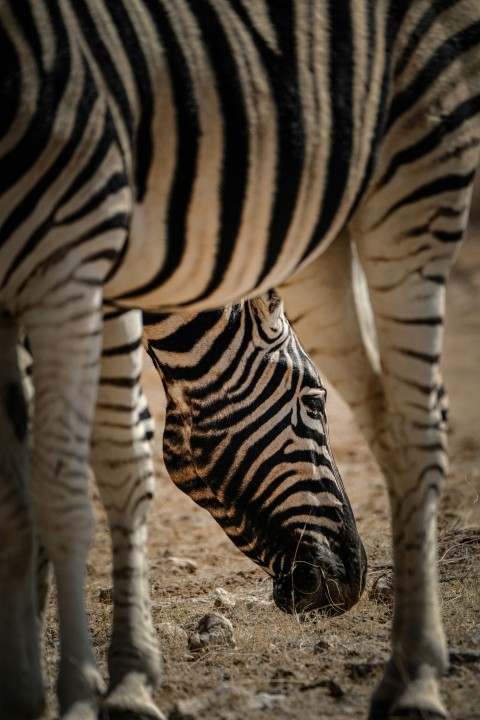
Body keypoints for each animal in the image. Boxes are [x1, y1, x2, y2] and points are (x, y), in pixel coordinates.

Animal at [0, 1, 478, 720]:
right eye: (312, 402)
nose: (352, 582)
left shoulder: (76, 268)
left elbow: (84, 476)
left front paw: (101, 687)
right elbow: (22, 495)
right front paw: (36, 684)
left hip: (417, 197)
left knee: (419, 424)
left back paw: (420, 678)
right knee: (389, 421)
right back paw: (401, 670)